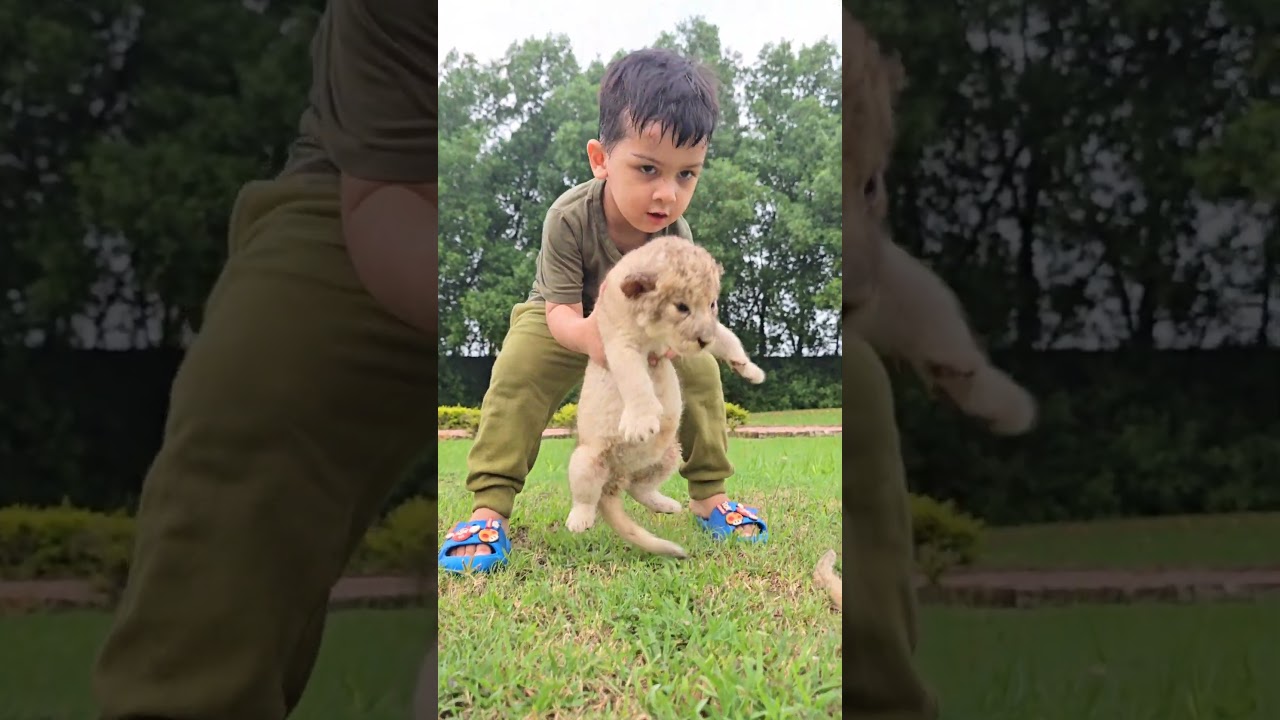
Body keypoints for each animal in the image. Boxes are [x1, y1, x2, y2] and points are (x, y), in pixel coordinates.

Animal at [564, 234, 766, 558]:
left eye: (711, 303)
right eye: (681, 306)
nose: (703, 341)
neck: (656, 334)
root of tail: (615, 479)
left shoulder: (702, 333)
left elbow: (727, 337)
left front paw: (750, 369)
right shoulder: (620, 345)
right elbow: (636, 381)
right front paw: (641, 422)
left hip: (669, 454)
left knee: (638, 488)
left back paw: (667, 505)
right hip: (587, 458)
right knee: (586, 495)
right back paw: (579, 521)